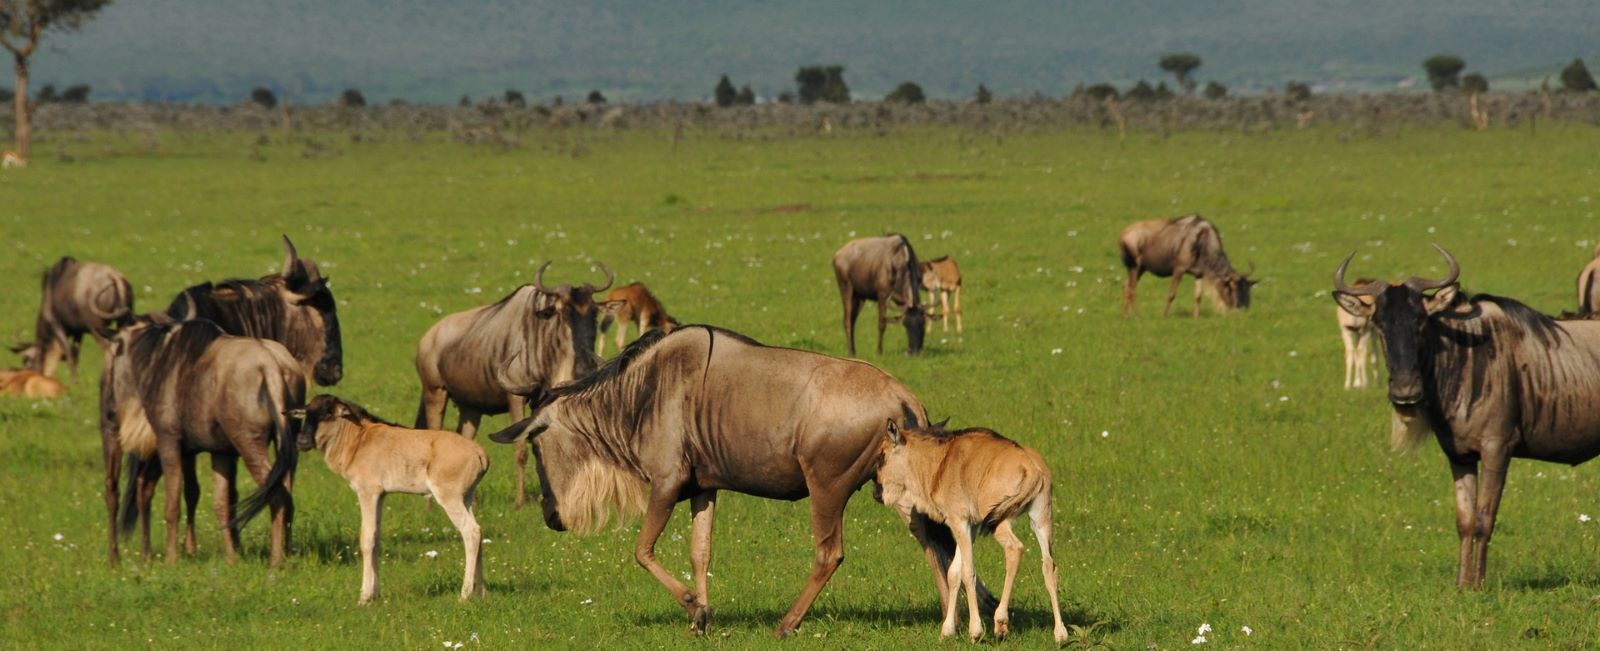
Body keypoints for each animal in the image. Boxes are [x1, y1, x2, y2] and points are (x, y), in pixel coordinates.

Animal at [289, 395, 483, 604]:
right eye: (307, 411)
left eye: (327, 413)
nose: (301, 441)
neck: (359, 439)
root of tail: (479, 452)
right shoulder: (381, 495)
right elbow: (376, 538)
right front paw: (375, 593)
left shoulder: (368, 493)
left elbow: (366, 539)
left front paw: (364, 597)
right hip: (466, 498)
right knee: (479, 531)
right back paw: (481, 592)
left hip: (449, 497)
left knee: (471, 531)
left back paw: (464, 595)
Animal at [870, 419, 1068, 646]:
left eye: (882, 455)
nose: (876, 493)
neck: (941, 462)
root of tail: (1033, 469)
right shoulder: (970, 527)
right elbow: (953, 572)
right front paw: (947, 631)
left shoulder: (960, 521)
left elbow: (967, 571)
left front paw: (975, 631)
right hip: (1041, 518)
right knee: (1049, 566)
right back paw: (1060, 633)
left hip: (999, 521)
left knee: (1015, 549)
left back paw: (1000, 623)